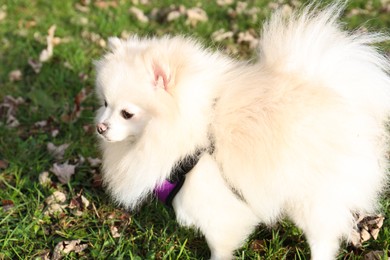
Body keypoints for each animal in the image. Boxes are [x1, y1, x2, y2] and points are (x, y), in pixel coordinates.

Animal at [95, 2, 390, 260]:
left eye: (127, 113)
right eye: (106, 104)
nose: (100, 128)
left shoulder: (214, 201)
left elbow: (219, 244)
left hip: (311, 195)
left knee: (324, 239)